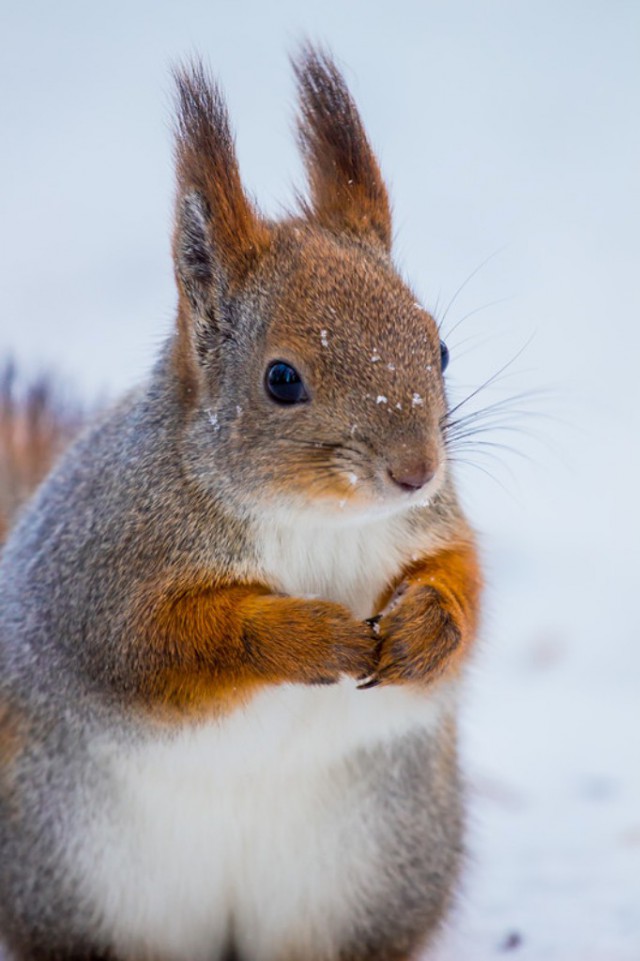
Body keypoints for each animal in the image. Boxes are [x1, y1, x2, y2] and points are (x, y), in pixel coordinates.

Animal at [0, 47, 480, 961]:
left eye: (437, 346)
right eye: (282, 379)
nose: (417, 470)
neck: (312, 517)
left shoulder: (433, 525)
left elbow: (463, 583)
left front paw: (426, 625)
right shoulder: (101, 570)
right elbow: (159, 646)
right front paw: (307, 633)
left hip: (367, 865)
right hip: (79, 868)